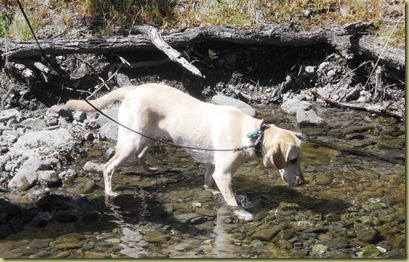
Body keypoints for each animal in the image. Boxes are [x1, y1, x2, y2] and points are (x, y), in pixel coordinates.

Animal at [66, 83, 302, 220]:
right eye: (293, 160)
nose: (303, 182)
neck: (253, 134)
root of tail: (133, 88)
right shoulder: (223, 173)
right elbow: (232, 202)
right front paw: (242, 213)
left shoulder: (211, 166)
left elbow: (208, 184)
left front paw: (211, 193)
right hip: (132, 139)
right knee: (108, 167)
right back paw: (110, 193)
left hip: (147, 136)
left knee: (140, 156)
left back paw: (152, 170)